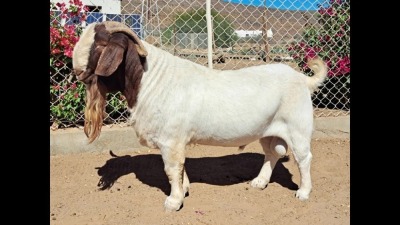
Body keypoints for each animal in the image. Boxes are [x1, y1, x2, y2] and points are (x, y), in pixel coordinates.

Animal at [72, 20, 328, 211]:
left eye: (99, 44)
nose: (76, 70)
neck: (149, 79)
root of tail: (302, 79)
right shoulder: (176, 141)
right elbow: (181, 168)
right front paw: (184, 190)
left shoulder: (170, 140)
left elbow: (172, 169)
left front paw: (173, 202)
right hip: (268, 130)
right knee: (272, 153)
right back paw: (260, 182)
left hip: (298, 127)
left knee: (304, 158)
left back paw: (303, 192)